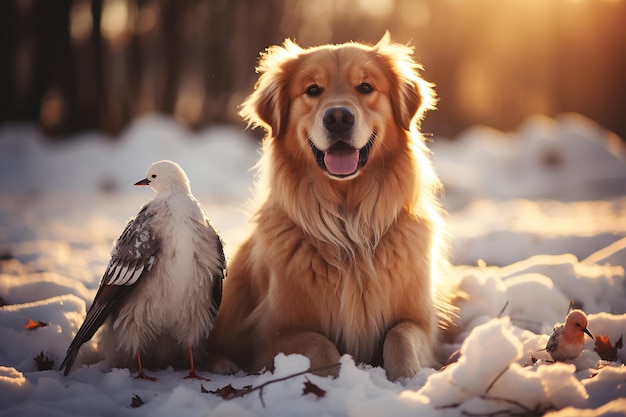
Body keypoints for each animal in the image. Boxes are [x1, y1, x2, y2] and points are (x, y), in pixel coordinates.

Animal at [210, 32, 448, 378]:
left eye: (366, 87)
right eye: (312, 90)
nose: (338, 118)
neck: (349, 223)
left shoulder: (421, 324)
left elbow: (399, 336)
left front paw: (405, 379)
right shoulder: (272, 334)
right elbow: (321, 345)